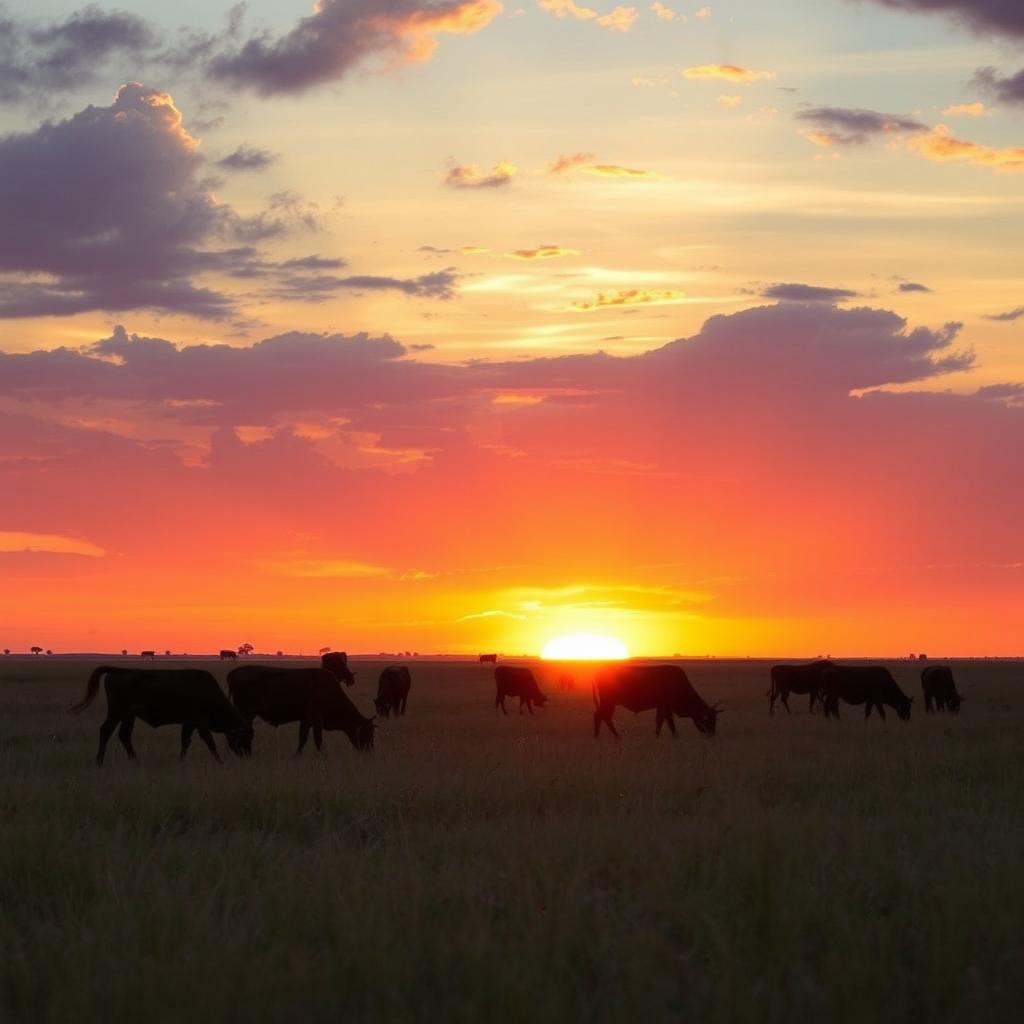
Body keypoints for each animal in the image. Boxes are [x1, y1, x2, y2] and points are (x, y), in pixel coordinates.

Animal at [70, 663, 253, 770]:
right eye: (245, 737)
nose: (248, 756)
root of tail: (120, 671)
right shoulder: (200, 723)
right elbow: (210, 743)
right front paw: (219, 761)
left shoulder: (189, 723)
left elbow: (185, 742)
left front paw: (180, 761)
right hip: (117, 712)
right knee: (106, 730)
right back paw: (99, 762)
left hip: (129, 715)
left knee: (124, 735)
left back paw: (136, 762)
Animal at [228, 663, 376, 753]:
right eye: (366, 733)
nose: (369, 751)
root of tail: (233, 673)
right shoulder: (316, 719)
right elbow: (317, 739)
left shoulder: (306, 720)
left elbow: (303, 738)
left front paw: (297, 755)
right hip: (247, 713)